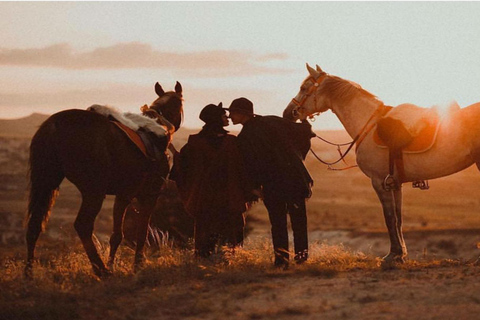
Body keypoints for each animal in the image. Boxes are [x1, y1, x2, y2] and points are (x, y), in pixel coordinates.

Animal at [25, 80, 184, 278]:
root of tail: (53, 126)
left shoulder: (124, 195)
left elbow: (117, 236)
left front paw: (116, 264)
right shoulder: (145, 195)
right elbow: (138, 232)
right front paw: (136, 265)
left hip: (46, 184)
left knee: (34, 225)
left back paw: (29, 273)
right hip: (93, 191)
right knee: (83, 225)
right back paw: (101, 270)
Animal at [284, 63, 480, 264]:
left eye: (304, 88)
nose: (289, 112)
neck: (367, 125)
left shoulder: (379, 182)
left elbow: (389, 218)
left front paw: (392, 255)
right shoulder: (396, 183)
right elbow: (398, 219)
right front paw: (401, 254)